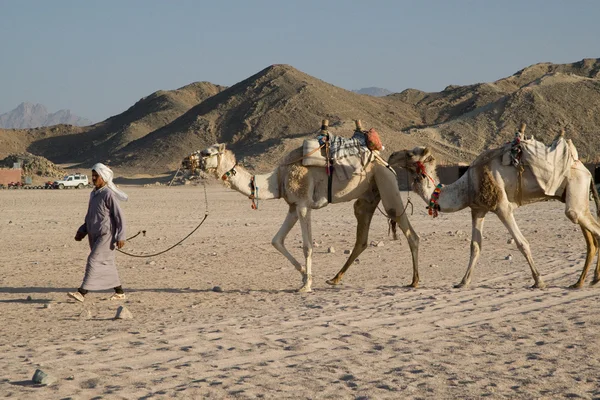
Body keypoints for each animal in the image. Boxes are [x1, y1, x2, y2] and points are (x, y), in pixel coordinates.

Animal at [197, 120, 418, 292]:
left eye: (207, 153)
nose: (189, 160)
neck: (277, 179)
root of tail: (381, 158)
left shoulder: (303, 204)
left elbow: (308, 246)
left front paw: (306, 285)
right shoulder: (293, 206)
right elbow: (276, 241)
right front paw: (304, 275)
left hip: (385, 181)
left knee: (408, 230)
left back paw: (414, 281)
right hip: (368, 196)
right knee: (361, 239)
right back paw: (334, 279)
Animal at [384, 126, 600, 290]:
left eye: (410, 154)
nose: (391, 156)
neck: (468, 185)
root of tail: (585, 169)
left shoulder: (502, 206)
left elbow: (521, 243)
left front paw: (539, 281)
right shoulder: (478, 209)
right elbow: (475, 246)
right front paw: (462, 282)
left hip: (575, 191)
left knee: (589, 227)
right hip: (574, 197)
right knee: (591, 236)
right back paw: (584, 281)